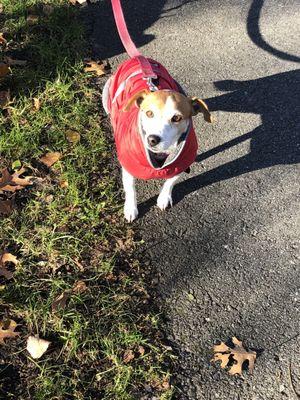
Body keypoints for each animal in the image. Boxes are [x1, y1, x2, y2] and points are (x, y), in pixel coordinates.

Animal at [102, 57, 211, 222]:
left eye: (176, 118)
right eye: (149, 113)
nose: (152, 139)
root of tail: (138, 57)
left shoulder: (181, 162)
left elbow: (171, 181)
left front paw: (164, 197)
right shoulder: (128, 165)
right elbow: (130, 189)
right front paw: (131, 208)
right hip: (107, 91)